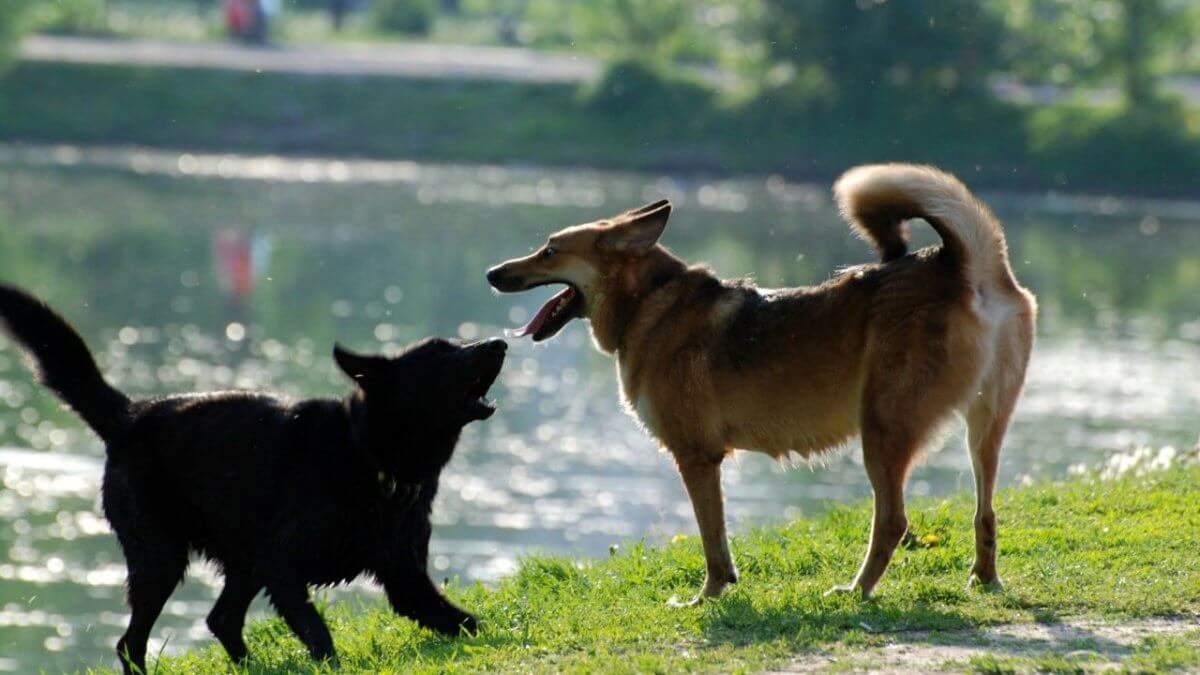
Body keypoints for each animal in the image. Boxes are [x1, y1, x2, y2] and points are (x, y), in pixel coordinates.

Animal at [0, 284, 504, 672]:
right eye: (441, 354)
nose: (499, 343)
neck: (370, 456)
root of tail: (130, 415)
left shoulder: (404, 577)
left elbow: (463, 622)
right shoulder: (282, 567)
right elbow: (318, 633)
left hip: (239, 559)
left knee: (219, 620)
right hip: (162, 558)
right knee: (133, 642)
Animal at [482, 164, 1036, 605]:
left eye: (549, 251)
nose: (491, 273)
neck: (648, 301)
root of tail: (961, 265)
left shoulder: (697, 458)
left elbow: (711, 540)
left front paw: (706, 597)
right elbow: (720, 544)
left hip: (883, 430)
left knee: (894, 523)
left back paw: (858, 590)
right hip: (985, 430)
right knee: (985, 513)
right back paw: (984, 580)